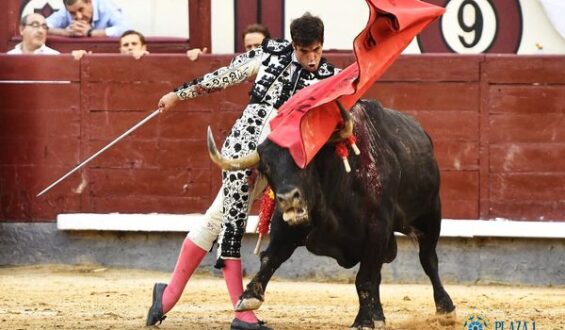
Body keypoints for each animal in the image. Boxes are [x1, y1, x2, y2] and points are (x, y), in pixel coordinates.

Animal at [207, 99, 454, 328]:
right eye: (266, 168)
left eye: (306, 160)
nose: (288, 198)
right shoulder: (288, 227)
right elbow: (270, 258)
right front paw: (249, 296)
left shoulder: (378, 228)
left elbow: (365, 278)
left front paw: (363, 321)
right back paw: (379, 316)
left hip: (431, 214)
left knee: (428, 259)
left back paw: (445, 308)